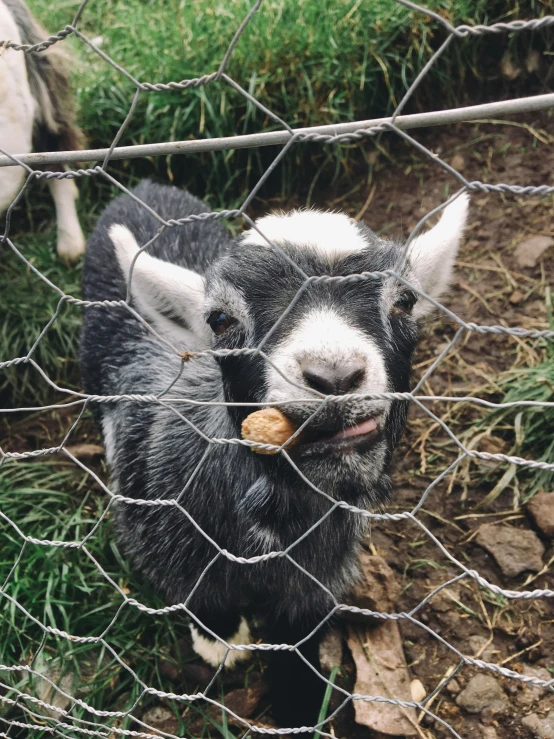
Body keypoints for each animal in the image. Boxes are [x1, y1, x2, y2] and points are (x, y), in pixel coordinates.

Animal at [81, 181, 466, 728]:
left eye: (406, 302)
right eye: (220, 320)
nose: (334, 375)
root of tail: (144, 188)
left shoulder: (317, 576)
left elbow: (297, 641)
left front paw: (301, 702)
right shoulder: (164, 537)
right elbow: (200, 593)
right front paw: (221, 643)